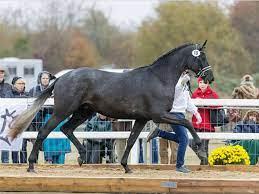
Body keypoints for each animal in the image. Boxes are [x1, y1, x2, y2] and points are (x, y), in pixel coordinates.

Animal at [8, 41, 215, 173]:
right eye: (201, 57)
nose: (209, 77)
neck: (159, 78)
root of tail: (60, 78)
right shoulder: (159, 115)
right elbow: (187, 123)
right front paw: (200, 148)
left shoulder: (142, 118)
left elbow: (131, 140)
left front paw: (126, 167)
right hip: (63, 111)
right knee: (44, 131)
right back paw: (31, 166)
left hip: (84, 111)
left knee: (67, 129)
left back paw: (82, 156)